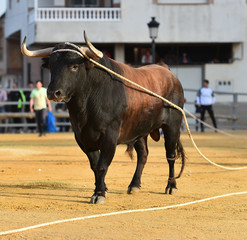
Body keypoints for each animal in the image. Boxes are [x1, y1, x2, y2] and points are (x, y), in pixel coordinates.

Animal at [22, 36, 185, 203]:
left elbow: (102, 165)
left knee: (171, 156)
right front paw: (102, 189)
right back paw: (134, 185)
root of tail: (169, 73)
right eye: (51, 66)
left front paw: (99, 194)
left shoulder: (109, 136)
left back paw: (171, 185)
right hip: (139, 130)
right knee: (143, 154)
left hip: (172, 126)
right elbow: (95, 165)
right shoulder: (82, 137)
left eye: (74, 66)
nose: (54, 93)